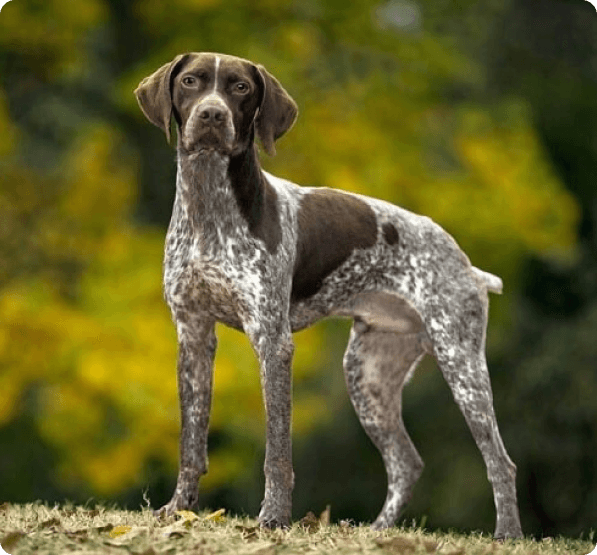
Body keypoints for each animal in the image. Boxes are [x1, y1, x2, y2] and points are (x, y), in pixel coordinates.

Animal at [135, 52, 520, 540]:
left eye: (241, 88)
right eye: (190, 82)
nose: (211, 115)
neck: (209, 209)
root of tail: (468, 265)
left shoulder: (272, 341)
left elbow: (277, 452)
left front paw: (274, 518)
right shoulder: (193, 335)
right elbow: (191, 440)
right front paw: (178, 509)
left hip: (461, 362)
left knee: (499, 462)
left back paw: (508, 535)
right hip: (367, 374)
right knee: (406, 463)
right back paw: (377, 532)